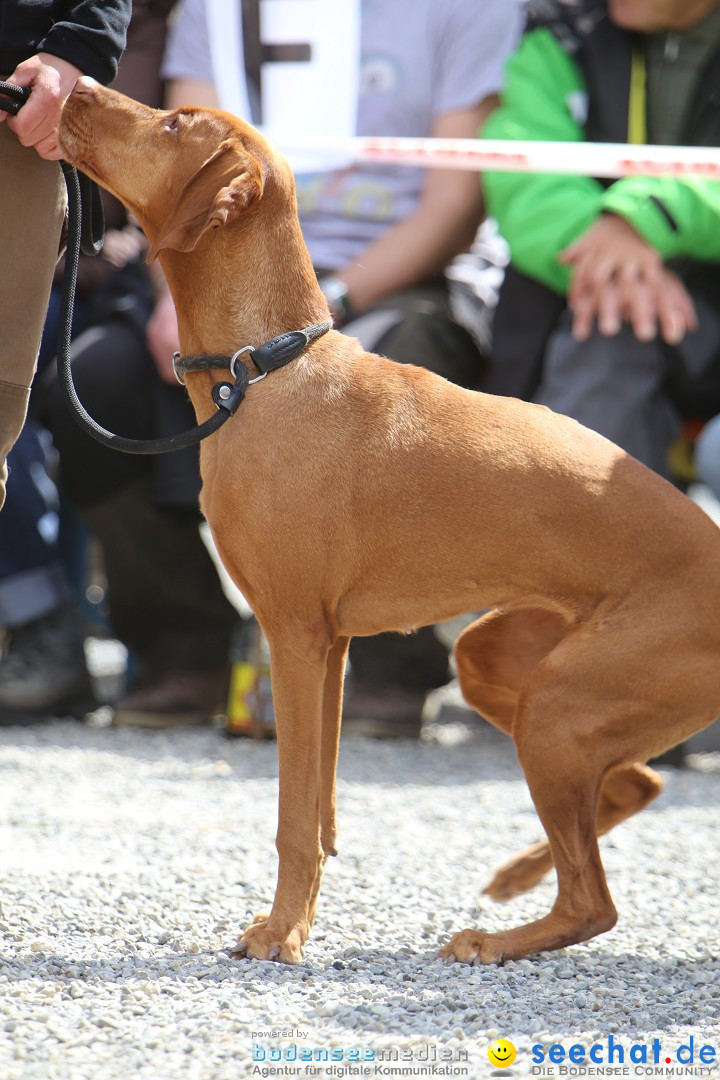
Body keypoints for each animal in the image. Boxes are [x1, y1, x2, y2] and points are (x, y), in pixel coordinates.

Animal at [60, 79, 720, 967]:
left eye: (172, 122)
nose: (73, 84)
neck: (267, 371)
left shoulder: (295, 637)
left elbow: (295, 819)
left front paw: (283, 934)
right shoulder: (331, 647)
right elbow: (322, 813)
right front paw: (299, 919)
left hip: (557, 705)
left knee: (596, 902)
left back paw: (495, 937)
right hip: (505, 665)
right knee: (635, 785)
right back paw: (517, 874)